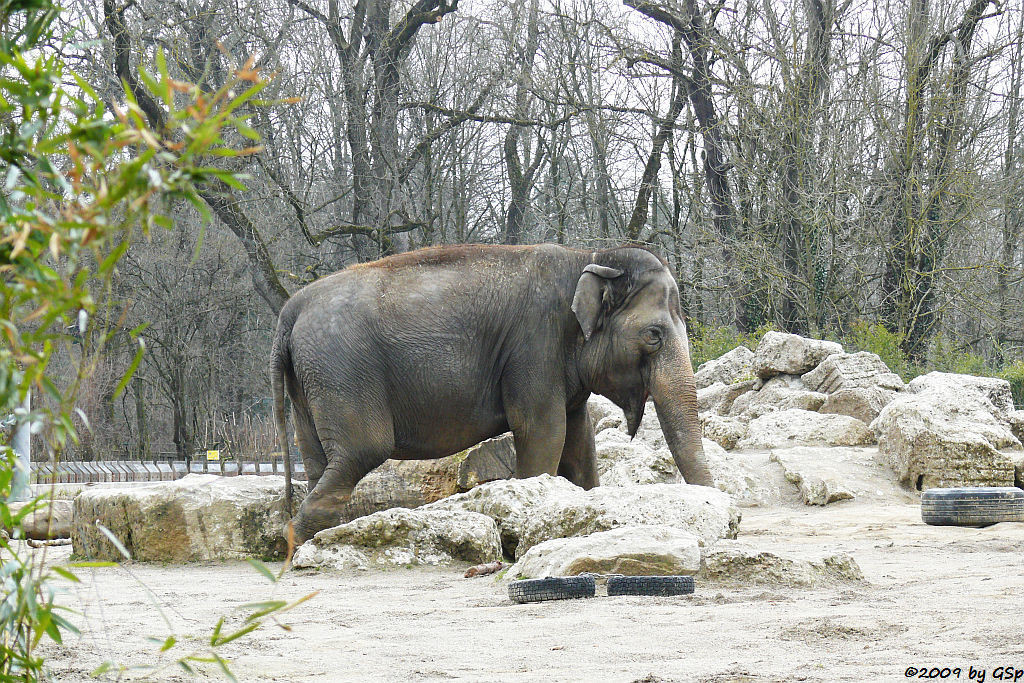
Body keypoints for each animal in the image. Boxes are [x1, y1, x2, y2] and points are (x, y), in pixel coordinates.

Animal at [272, 245, 712, 544]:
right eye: (653, 335)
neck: (589, 255)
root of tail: (289, 311)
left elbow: (579, 440)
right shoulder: (534, 347)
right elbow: (543, 432)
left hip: (310, 382)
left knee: (320, 462)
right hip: (341, 371)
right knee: (362, 451)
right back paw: (300, 544)